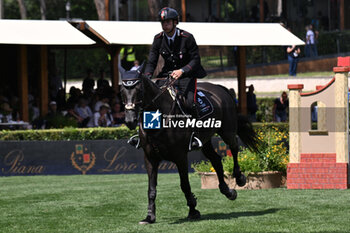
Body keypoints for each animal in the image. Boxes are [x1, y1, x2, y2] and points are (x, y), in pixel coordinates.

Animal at [120, 67, 260, 224]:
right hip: (205, 141)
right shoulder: (150, 158)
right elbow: (151, 188)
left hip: (227, 131)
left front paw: (193, 210)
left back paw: (239, 178)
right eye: (122, 91)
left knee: (234, 148)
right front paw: (149, 217)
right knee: (216, 160)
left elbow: (185, 185)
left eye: (139, 90)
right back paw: (228, 191)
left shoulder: (180, 157)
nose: (130, 121)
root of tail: (219, 88)